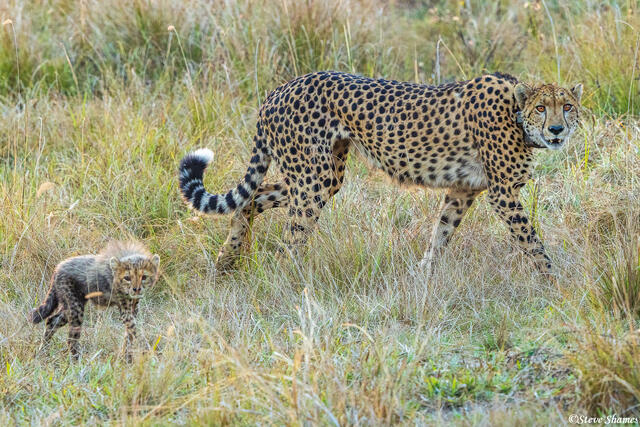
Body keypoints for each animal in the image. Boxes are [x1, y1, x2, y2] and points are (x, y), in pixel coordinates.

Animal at [30, 240, 160, 360]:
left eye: (144, 277)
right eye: (127, 278)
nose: (136, 289)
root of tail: (58, 267)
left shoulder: (133, 309)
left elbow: (129, 334)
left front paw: (126, 355)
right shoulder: (125, 310)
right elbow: (134, 329)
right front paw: (142, 351)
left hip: (70, 305)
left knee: (52, 321)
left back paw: (43, 350)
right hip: (75, 307)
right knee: (72, 337)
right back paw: (76, 360)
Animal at [178, 71, 582, 277]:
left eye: (567, 106)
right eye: (542, 108)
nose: (557, 129)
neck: (517, 116)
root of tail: (279, 88)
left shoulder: (462, 190)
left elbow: (441, 233)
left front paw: (424, 273)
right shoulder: (503, 192)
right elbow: (531, 240)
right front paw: (553, 281)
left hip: (323, 176)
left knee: (252, 199)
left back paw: (226, 261)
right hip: (312, 178)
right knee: (290, 238)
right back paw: (291, 285)